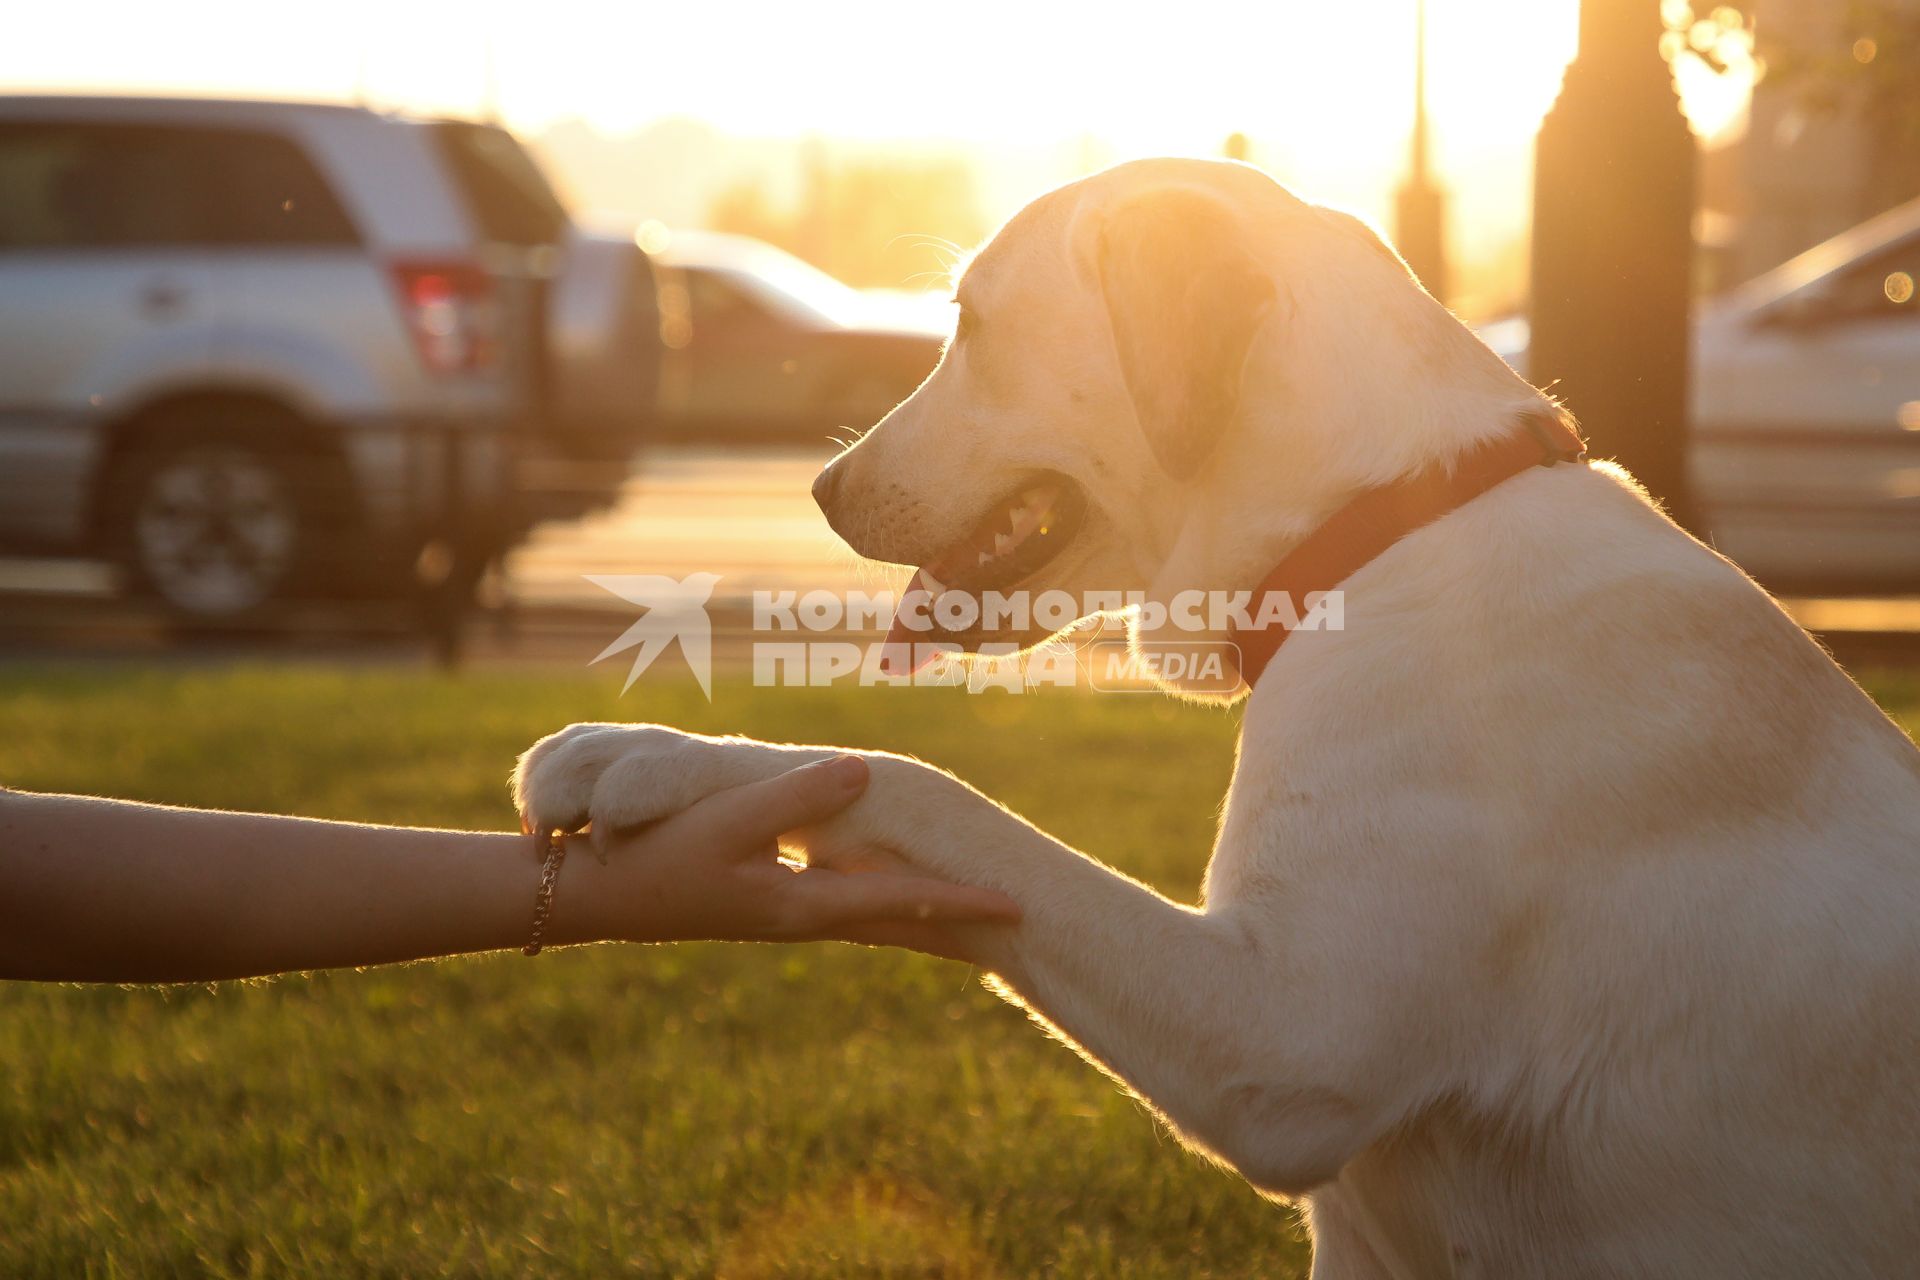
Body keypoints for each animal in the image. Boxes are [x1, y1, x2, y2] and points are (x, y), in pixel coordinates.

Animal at [514, 163, 1920, 1280]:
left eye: (971, 323)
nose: (818, 486)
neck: (1387, 527)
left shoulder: (1284, 1036)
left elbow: (917, 783)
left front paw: (647, 755)